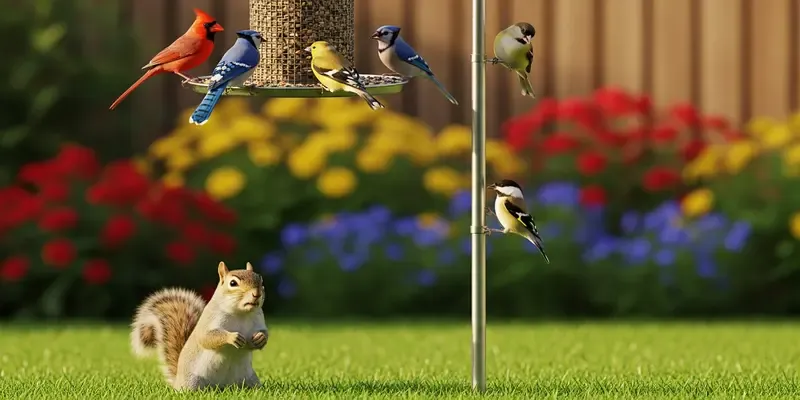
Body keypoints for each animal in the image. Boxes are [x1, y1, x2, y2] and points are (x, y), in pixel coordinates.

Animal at [130, 261, 269, 391]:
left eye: (261, 280)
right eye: (233, 283)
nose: (256, 294)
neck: (241, 314)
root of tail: (222, 386)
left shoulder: (259, 320)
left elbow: (264, 333)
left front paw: (260, 338)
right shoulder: (210, 320)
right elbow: (206, 338)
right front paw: (232, 337)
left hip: (249, 379)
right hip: (193, 382)